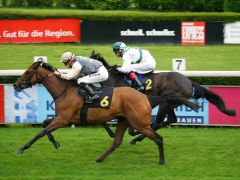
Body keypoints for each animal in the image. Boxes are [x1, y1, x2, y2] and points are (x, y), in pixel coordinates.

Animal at [12, 60, 199, 165]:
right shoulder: (63, 118)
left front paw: (21, 148)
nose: (15, 85)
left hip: (140, 121)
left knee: (158, 136)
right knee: (117, 142)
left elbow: (41, 131)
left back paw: (160, 159)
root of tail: (146, 97)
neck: (64, 91)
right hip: (124, 120)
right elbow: (45, 126)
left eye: (28, 72)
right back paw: (99, 159)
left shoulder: (63, 119)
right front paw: (56, 143)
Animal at [90, 51, 236, 144]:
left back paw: (137, 138)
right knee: (171, 119)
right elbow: (102, 120)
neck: (113, 79)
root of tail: (189, 81)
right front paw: (116, 133)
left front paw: (125, 131)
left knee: (159, 122)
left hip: (166, 102)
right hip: (170, 104)